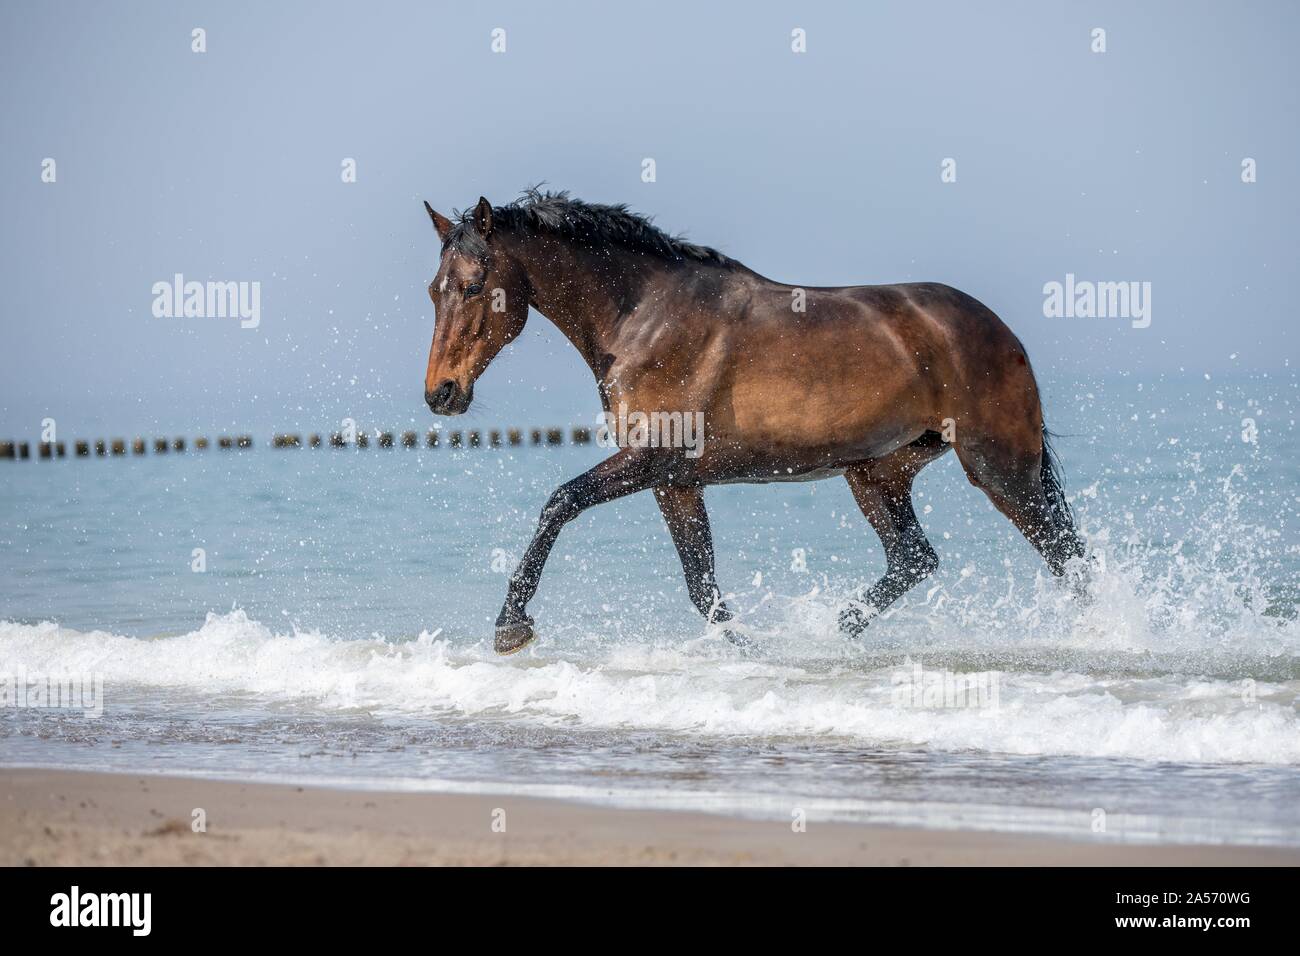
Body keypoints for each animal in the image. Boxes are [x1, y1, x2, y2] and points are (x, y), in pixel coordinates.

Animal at [423, 195, 1086, 658]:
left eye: (475, 286)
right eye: (434, 290)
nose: (441, 394)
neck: (644, 318)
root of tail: (999, 330)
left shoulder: (649, 461)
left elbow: (559, 503)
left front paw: (511, 626)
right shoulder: (675, 481)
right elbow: (704, 587)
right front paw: (753, 651)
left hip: (1000, 467)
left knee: (1066, 556)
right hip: (876, 474)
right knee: (915, 559)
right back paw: (835, 630)